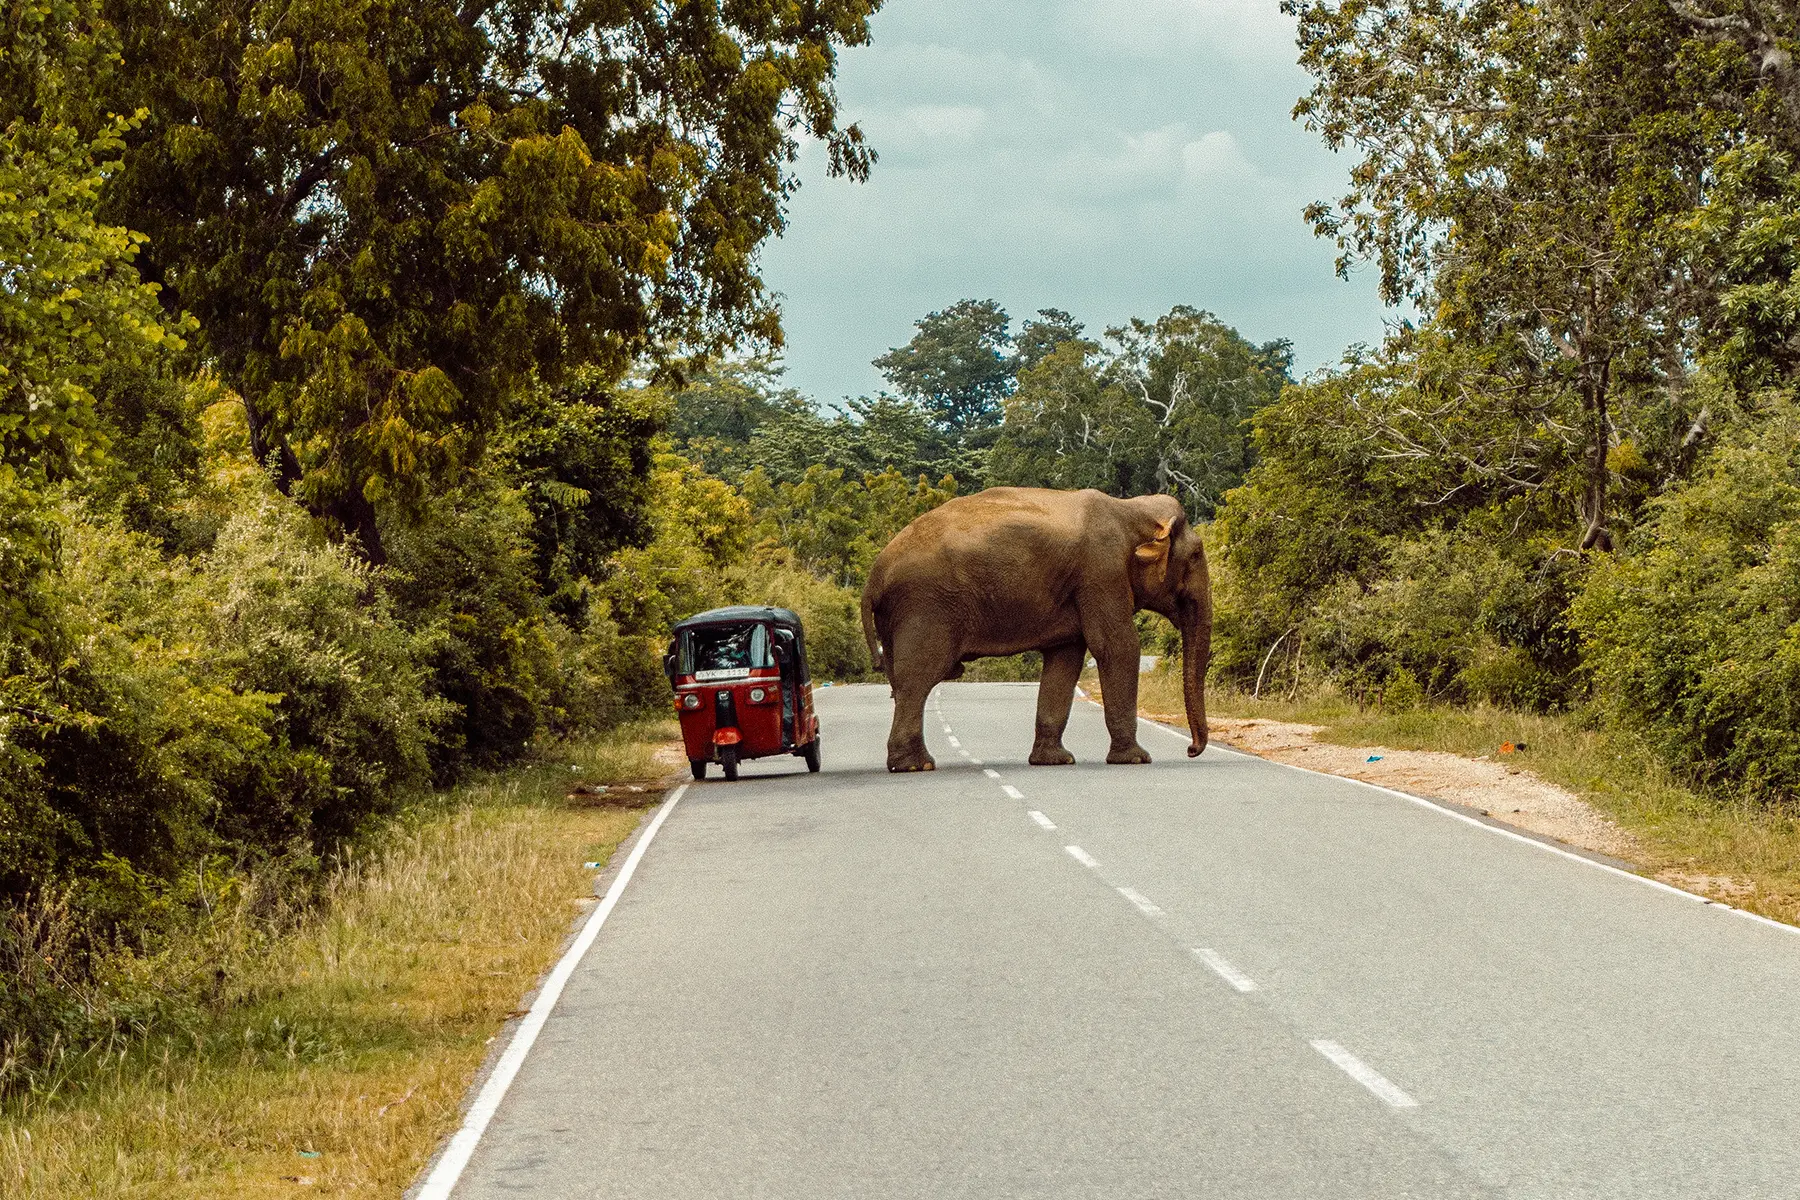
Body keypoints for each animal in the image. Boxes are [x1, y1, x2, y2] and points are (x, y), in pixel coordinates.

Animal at [859, 487, 1211, 773]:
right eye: (1196, 555)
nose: (1191, 750)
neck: (1132, 508)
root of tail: (874, 576)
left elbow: (1065, 658)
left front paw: (1056, 761)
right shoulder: (1102, 572)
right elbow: (1117, 646)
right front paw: (1137, 759)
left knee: (902, 682)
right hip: (926, 606)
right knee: (918, 680)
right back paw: (916, 766)